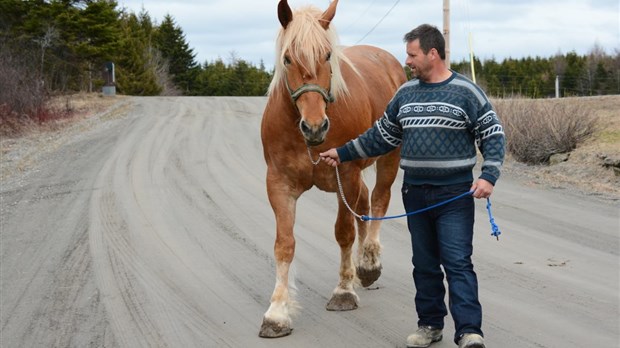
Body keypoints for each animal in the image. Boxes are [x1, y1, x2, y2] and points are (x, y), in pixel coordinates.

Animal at [258, 0, 406, 338]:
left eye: (327, 55)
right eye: (287, 58)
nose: (315, 127)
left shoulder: (346, 175)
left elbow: (343, 233)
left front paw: (343, 291)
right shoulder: (279, 184)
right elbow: (284, 245)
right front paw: (277, 312)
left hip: (389, 158)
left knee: (378, 201)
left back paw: (368, 263)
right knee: (364, 206)